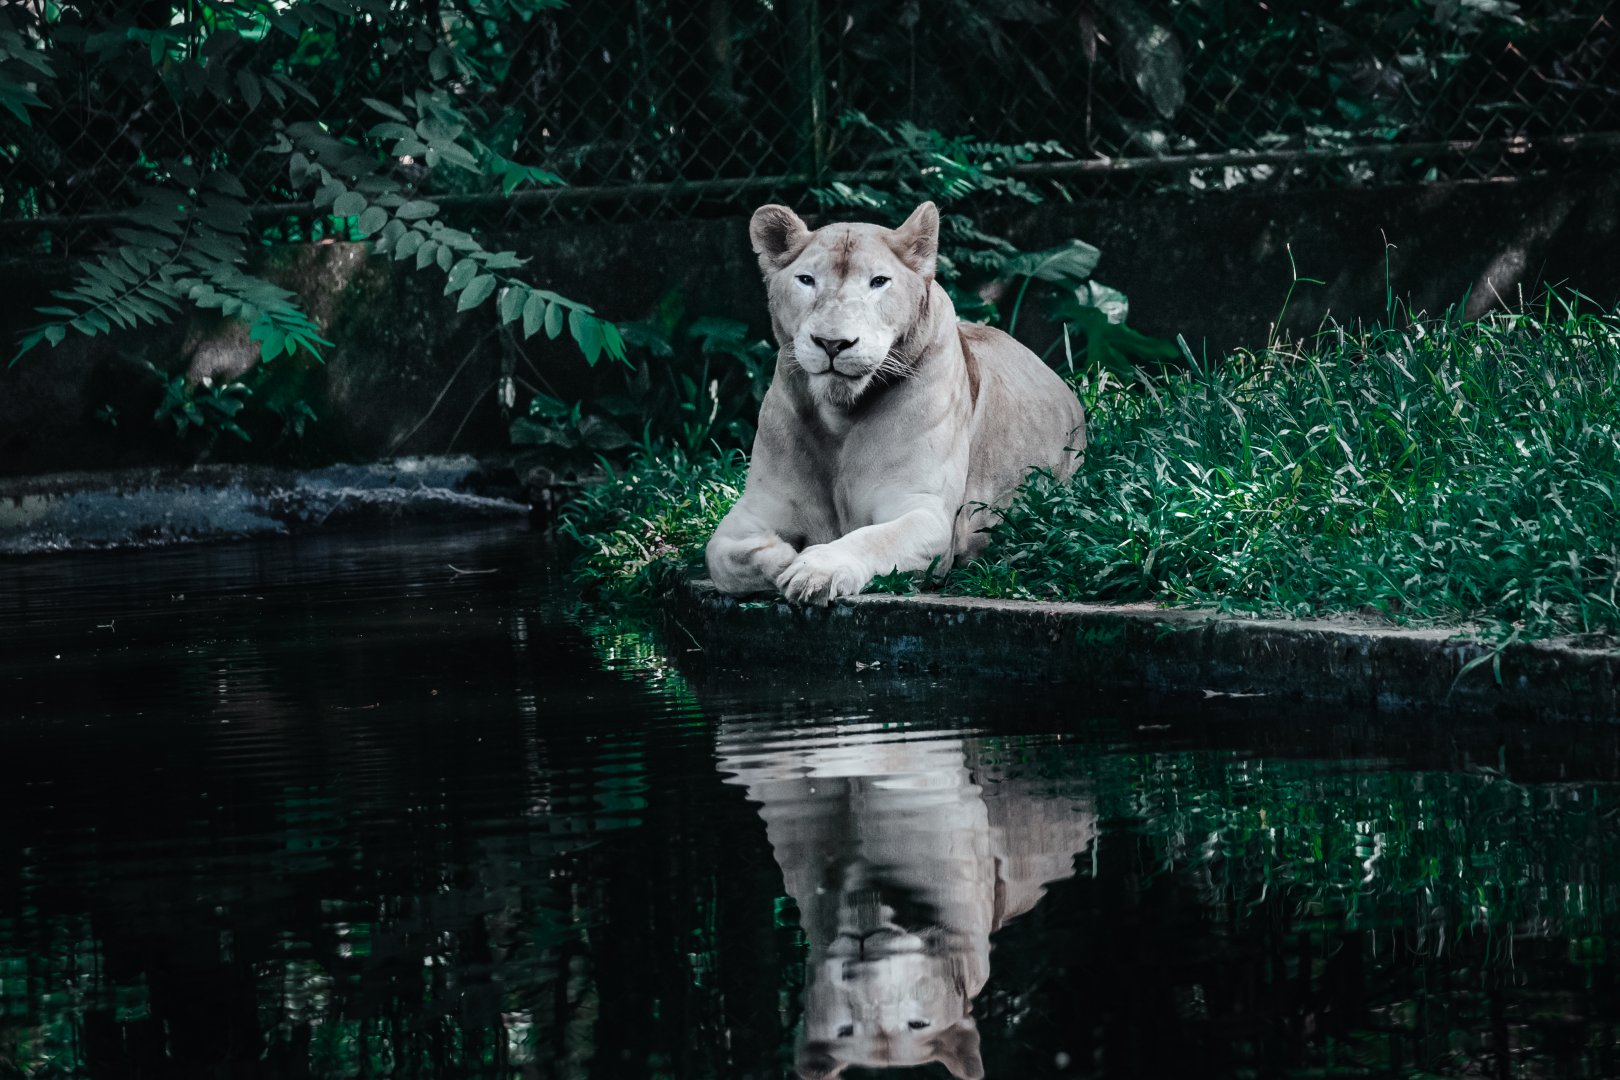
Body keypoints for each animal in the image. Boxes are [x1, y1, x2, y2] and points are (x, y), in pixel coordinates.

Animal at [705, 201, 1086, 604]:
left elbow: (873, 539)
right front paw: (783, 556)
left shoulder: (926, 513)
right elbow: (719, 555)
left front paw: (815, 569)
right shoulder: (757, 509)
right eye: (806, 280)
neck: (839, 415)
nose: (832, 343)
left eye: (878, 282)